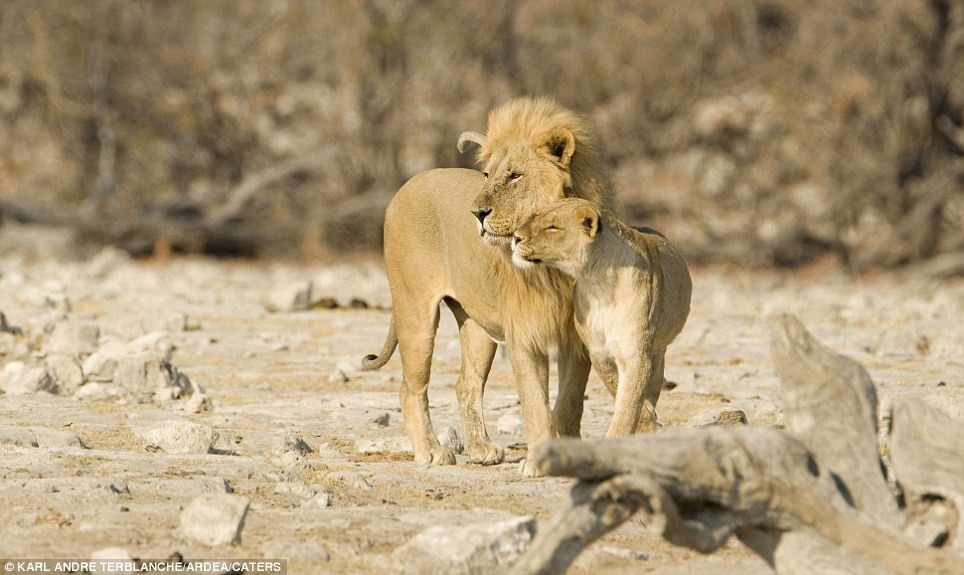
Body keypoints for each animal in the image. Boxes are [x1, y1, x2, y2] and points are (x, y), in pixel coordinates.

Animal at [362, 95, 616, 472]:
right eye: (487, 175)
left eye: (514, 175)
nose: (477, 214)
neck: (553, 263)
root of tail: (409, 182)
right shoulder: (524, 334)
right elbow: (534, 402)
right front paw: (538, 461)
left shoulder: (576, 339)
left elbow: (570, 401)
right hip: (416, 310)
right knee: (411, 388)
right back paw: (431, 452)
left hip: (477, 325)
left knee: (465, 383)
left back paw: (481, 449)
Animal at [512, 197, 692, 432]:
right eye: (535, 216)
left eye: (552, 227)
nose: (516, 237)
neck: (597, 282)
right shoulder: (597, 350)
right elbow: (616, 386)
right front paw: (646, 419)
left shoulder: (636, 352)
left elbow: (628, 405)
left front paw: (641, 426)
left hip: (658, 350)